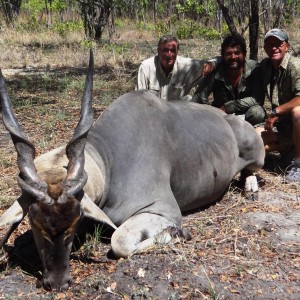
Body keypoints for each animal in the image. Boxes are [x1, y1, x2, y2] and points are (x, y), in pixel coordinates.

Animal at [0, 49, 262, 290]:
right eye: (34, 222)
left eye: (73, 223)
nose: (57, 282)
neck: (109, 161)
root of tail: (229, 117)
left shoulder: (163, 211)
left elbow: (120, 242)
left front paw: (179, 234)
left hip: (256, 152)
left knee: (252, 169)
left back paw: (250, 187)